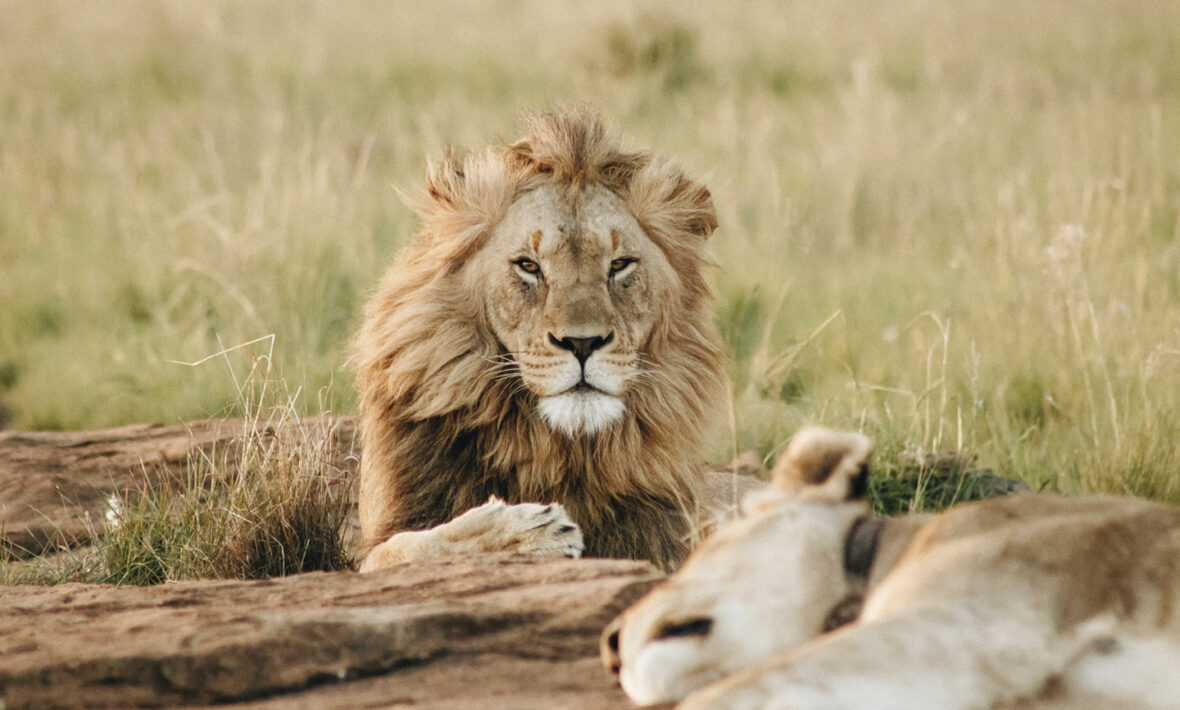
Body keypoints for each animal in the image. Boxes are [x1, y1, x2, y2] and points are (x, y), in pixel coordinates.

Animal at [349, 106, 745, 568]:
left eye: (620, 265)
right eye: (528, 266)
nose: (582, 343)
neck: (554, 450)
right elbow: (411, 546)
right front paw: (526, 532)